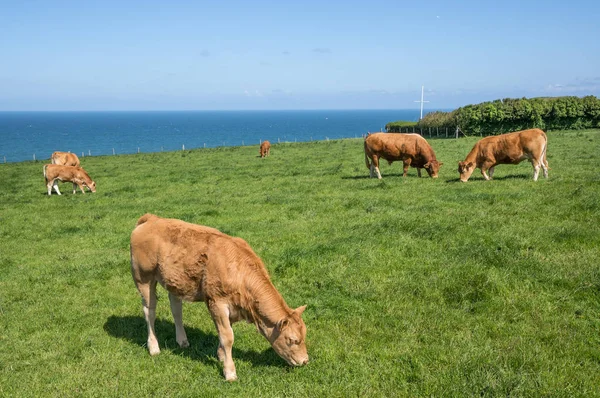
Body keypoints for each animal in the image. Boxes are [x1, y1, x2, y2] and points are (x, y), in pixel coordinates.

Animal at [130, 213, 310, 380]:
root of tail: (152, 218)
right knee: (149, 312)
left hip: (174, 282)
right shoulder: (217, 302)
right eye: (292, 340)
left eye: (304, 336)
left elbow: (224, 331)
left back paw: (182, 340)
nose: (305, 361)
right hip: (143, 278)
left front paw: (221, 356)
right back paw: (154, 347)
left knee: (176, 310)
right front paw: (229, 371)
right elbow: (227, 336)